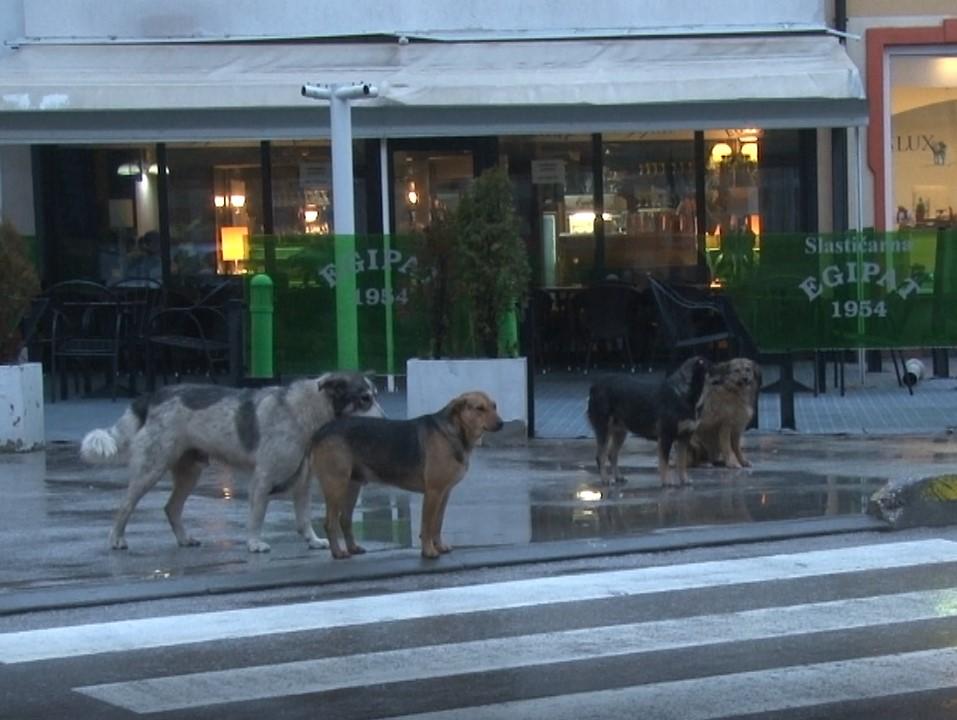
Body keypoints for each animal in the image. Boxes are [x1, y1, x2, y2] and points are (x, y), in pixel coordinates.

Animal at [80, 374, 382, 556]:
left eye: (375, 395)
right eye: (364, 398)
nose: (386, 420)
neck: (309, 410)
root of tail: (153, 395)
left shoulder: (303, 481)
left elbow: (304, 517)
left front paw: (312, 540)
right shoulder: (263, 479)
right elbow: (257, 516)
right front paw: (254, 543)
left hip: (190, 471)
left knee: (171, 507)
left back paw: (184, 539)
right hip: (150, 469)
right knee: (125, 506)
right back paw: (115, 539)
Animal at [312, 390, 508, 560]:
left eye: (494, 406)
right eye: (479, 408)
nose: (501, 424)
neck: (455, 431)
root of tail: (322, 430)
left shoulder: (444, 493)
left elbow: (438, 523)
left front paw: (440, 546)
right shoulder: (433, 492)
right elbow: (427, 525)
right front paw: (429, 551)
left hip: (352, 486)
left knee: (345, 519)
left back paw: (353, 548)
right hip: (336, 485)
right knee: (330, 523)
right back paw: (338, 553)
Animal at [584, 358, 708, 486]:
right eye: (712, 366)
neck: (685, 396)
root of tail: (594, 387)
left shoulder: (685, 437)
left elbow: (682, 462)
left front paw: (684, 479)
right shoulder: (666, 436)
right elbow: (664, 463)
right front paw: (667, 482)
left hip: (620, 431)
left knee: (612, 454)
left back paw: (618, 477)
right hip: (603, 428)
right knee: (601, 456)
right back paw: (605, 479)